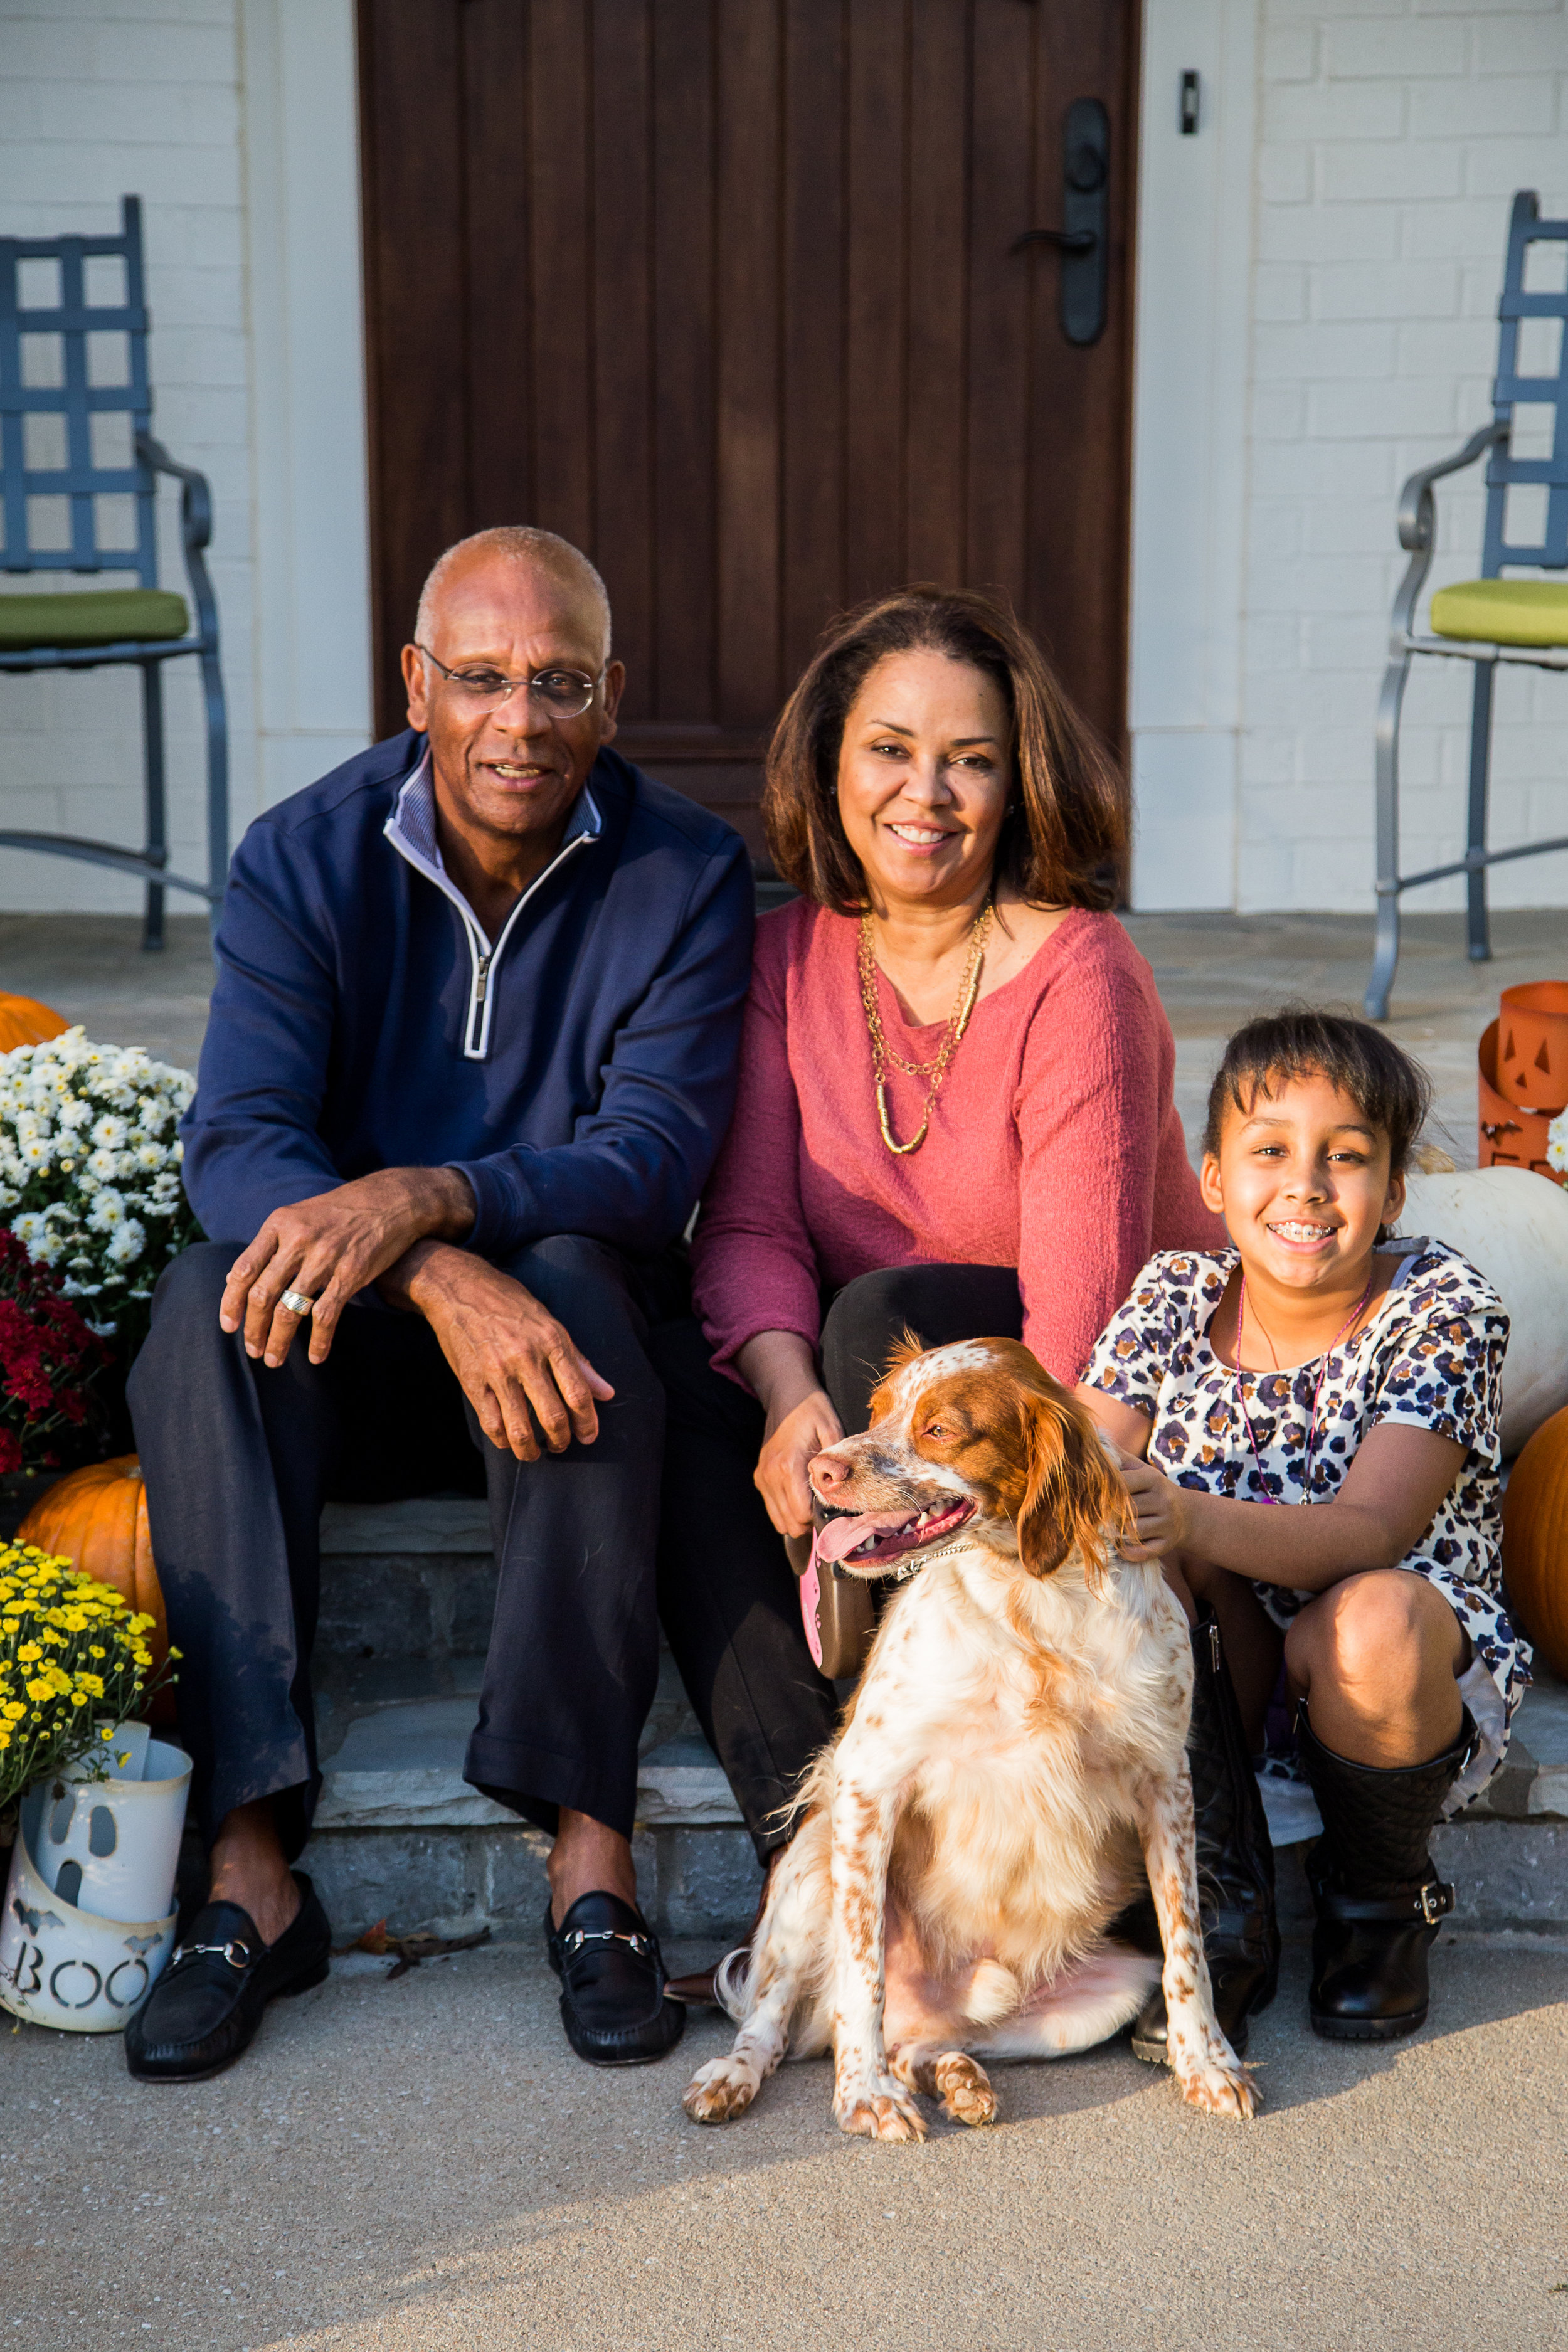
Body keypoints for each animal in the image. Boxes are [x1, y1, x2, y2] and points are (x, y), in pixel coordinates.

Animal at [686, 1345, 1259, 2136]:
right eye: (877, 1414)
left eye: (938, 1430)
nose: (819, 1470)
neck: (1034, 1599)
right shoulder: (868, 1782)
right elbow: (860, 1972)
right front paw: (862, 2097)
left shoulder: (1165, 1782)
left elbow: (1186, 1947)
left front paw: (1206, 2063)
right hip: (811, 1863)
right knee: (773, 2020)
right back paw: (735, 2075)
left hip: (1089, 2003)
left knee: (915, 2044)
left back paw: (957, 2077)